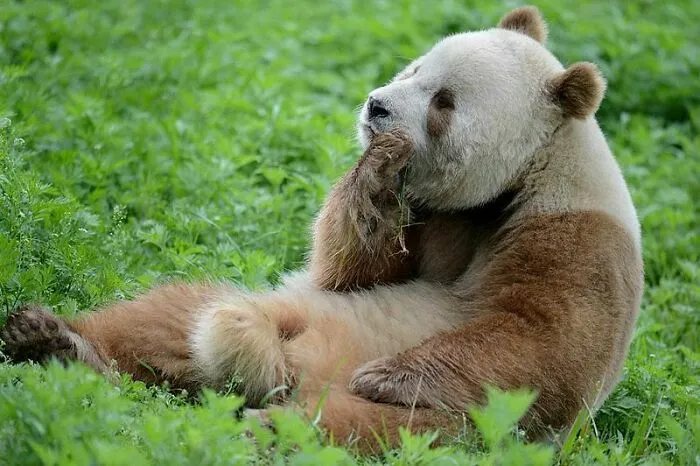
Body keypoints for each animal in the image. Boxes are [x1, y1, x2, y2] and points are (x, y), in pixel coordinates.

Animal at [1, 6, 642, 453]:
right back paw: (54, 342)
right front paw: (376, 169)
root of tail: (287, 374)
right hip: (282, 306)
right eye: (415, 67)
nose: (377, 107)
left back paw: (265, 429)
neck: (515, 180)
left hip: (460, 423)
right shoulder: (431, 217)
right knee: (168, 315)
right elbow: (350, 271)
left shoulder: (576, 237)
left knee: (374, 428)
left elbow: (541, 342)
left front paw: (389, 374)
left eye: (444, 100)